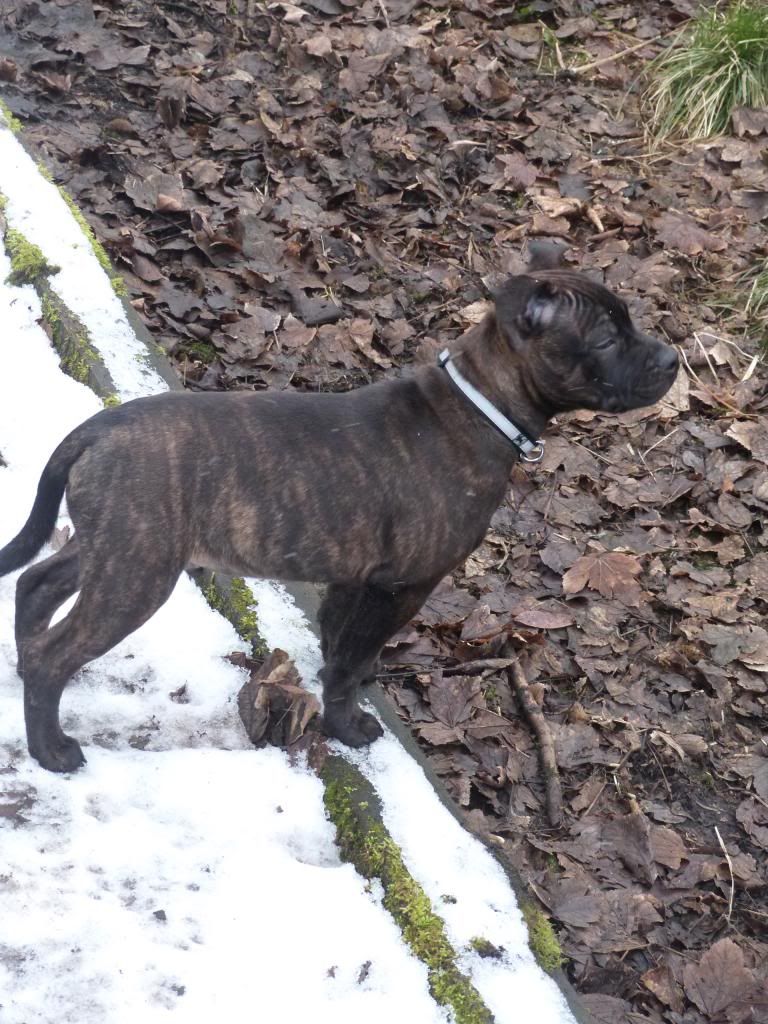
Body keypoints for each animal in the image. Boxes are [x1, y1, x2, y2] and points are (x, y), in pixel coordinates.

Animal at [3, 264, 684, 770]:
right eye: (606, 340)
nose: (674, 358)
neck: (479, 404)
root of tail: (96, 427)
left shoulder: (351, 579)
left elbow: (338, 650)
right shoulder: (401, 586)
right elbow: (354, 660)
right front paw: (350, 727)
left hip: (113, 544)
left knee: (36, 584)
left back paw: (20, 665)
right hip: (138, 570)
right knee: (58, 650)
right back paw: (50, 748)